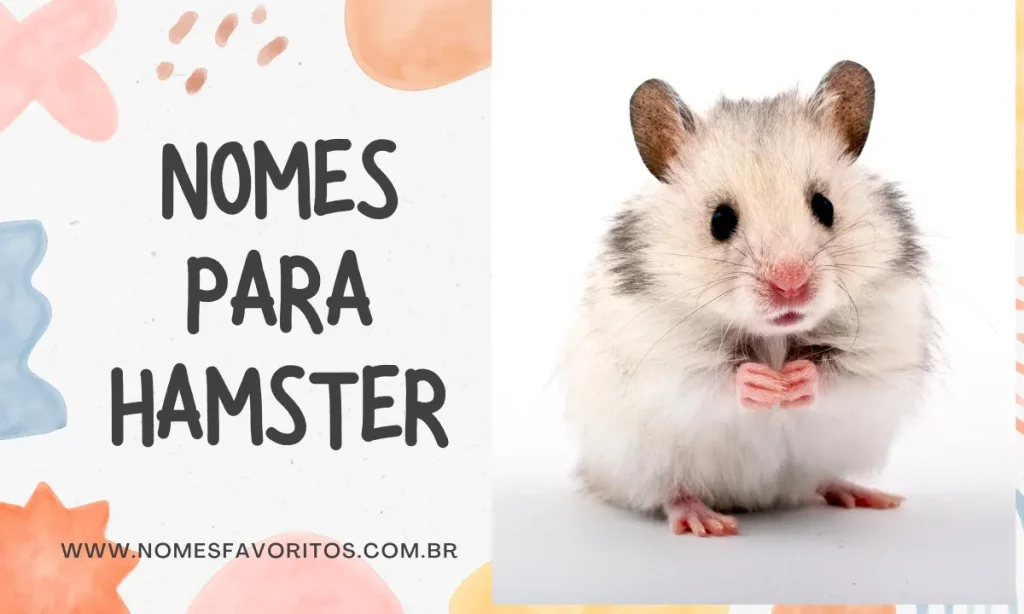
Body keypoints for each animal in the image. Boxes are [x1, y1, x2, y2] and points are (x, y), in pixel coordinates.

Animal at [562, 61, 935, 537]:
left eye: (825, 206)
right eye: (720, 220)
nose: (790, 286)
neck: (774, 336)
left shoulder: (882, 353)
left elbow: (842, 377)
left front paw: (795, 380)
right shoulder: (660, 363)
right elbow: (711, 380)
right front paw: (764, 383)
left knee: (821, 479)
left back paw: (867, 496)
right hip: (638, 464)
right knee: (671, 492)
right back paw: (706, 521)